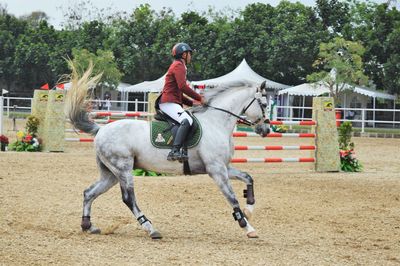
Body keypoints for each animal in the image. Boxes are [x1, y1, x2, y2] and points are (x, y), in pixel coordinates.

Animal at [65, 62, 270, 239]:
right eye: (265, 105)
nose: (266, 130)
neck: (216, 122)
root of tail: (101, 130)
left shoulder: (224, 167)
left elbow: (248, 177)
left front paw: (249, 209)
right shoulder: (216, 170)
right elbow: (232, 198)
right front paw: (247, 226)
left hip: (111, 174)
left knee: (89, 192)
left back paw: (88, 226)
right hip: (123, 168)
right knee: (128, 199)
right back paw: (150, 228)